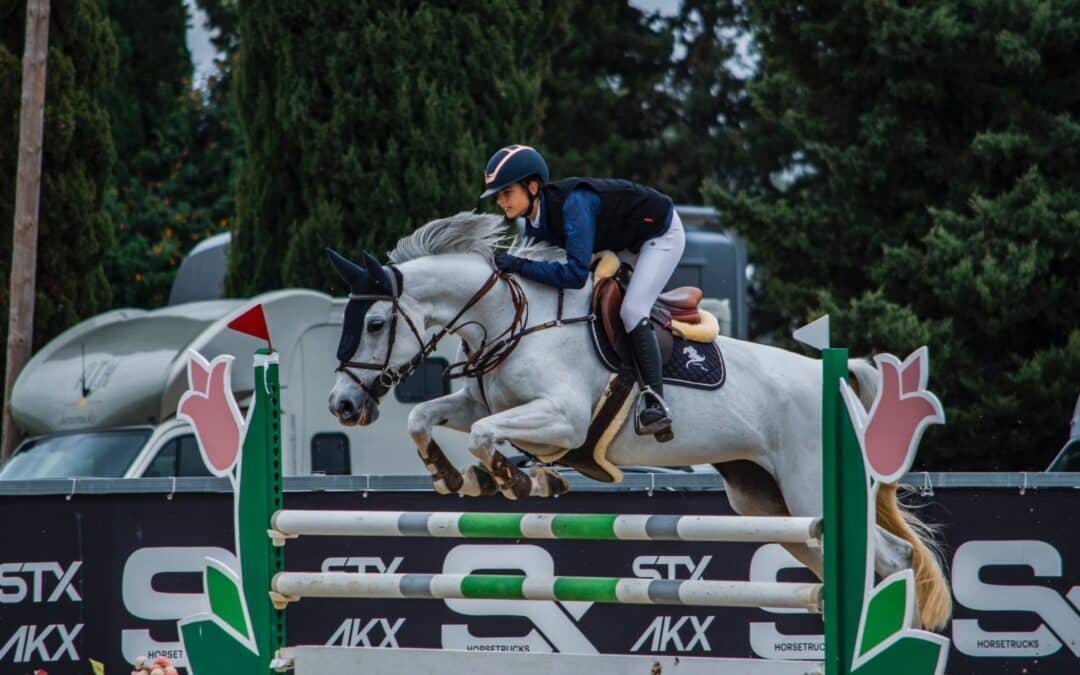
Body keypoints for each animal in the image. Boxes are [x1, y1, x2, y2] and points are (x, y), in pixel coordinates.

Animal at [324, 211, 950, 630]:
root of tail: (841, 385)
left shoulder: (563, 421)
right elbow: (425, 417)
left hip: (809, 492)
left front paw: (518, 479)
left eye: (375, 323)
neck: (512, 317)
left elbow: (484, 436)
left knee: (891, 559)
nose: (343, 406)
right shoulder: (486, 404)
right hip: (770, 505)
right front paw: (454, 476)